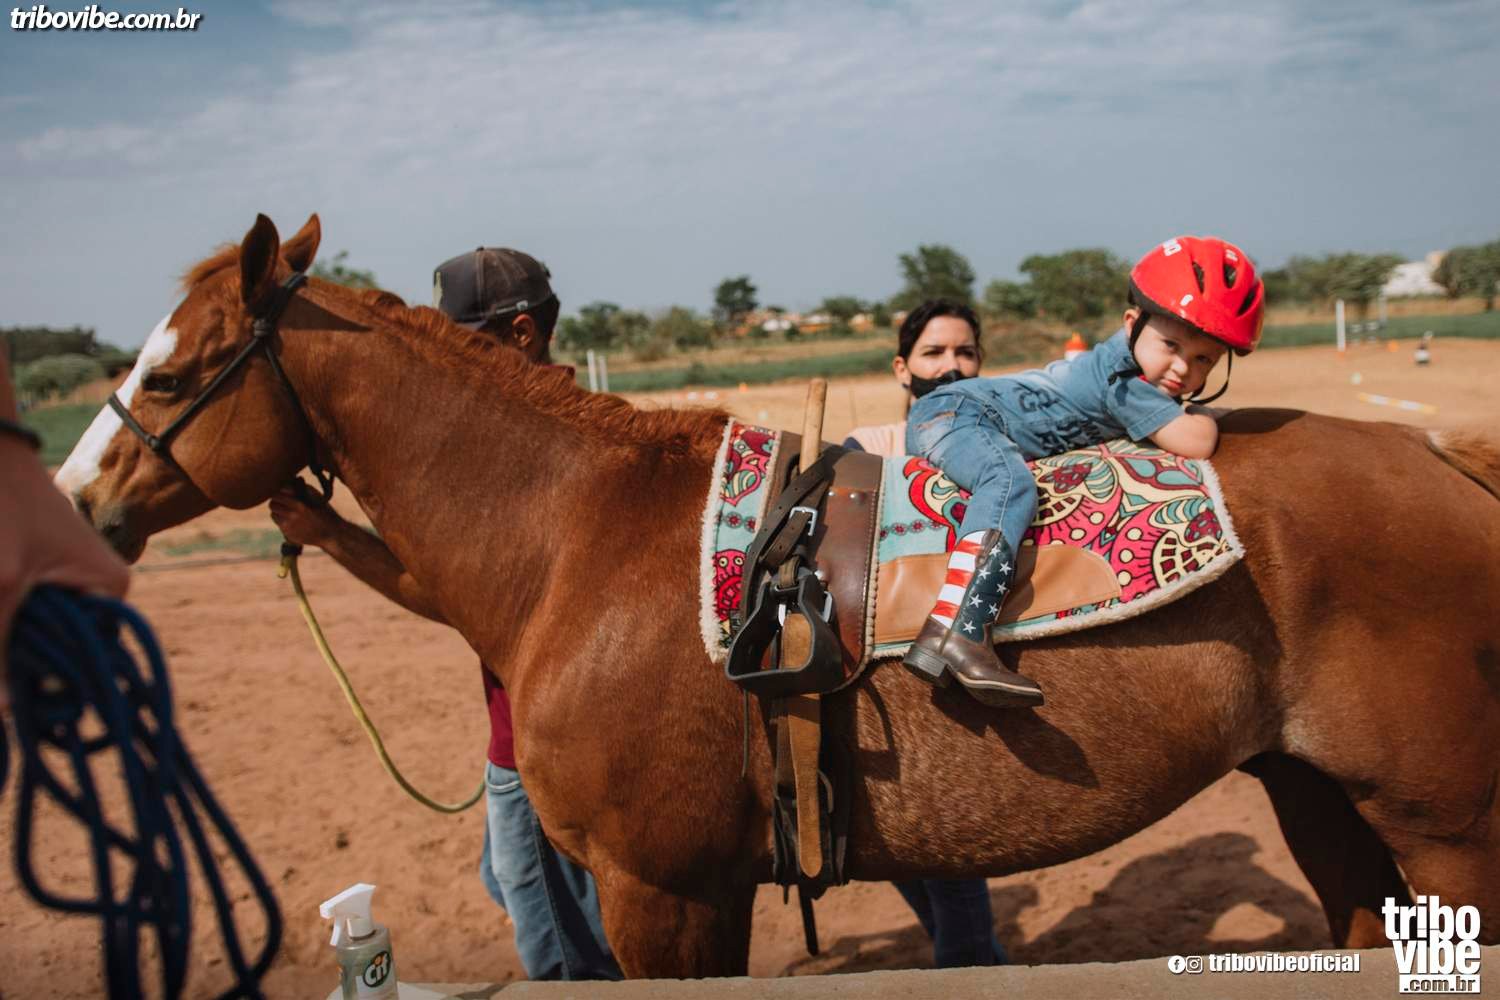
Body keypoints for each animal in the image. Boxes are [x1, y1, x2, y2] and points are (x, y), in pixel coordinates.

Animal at [56, 213, 1500, 978]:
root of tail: (1442, 458)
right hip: (1318, 798)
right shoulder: (702, 890)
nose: (75, 495)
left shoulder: (658, 892)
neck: (576, 543)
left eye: (175, 375)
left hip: (1444, 825)